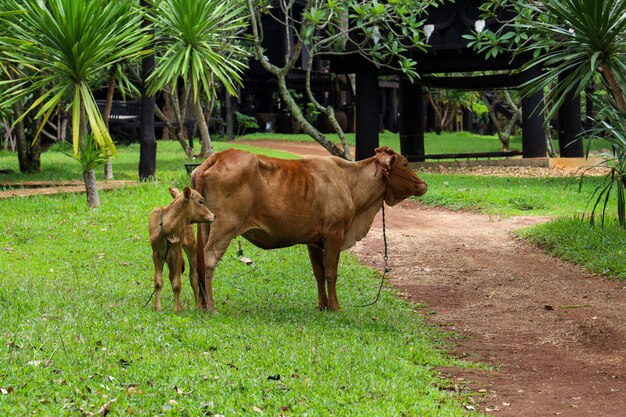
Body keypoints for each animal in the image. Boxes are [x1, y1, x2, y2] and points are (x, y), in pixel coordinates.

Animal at [190, 147, 424, 312]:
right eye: (405, 163)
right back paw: (212, 307)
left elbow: (318, 272)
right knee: (209, 260)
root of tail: (218, 157)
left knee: (199, 262)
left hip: (207, 226)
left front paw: (323, 305)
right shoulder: (334, 234)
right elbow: (331, 272)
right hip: (224, 227)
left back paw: (202, 305)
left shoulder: (313, 240)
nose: (423, 184)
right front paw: (335, 307)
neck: (349, 182)